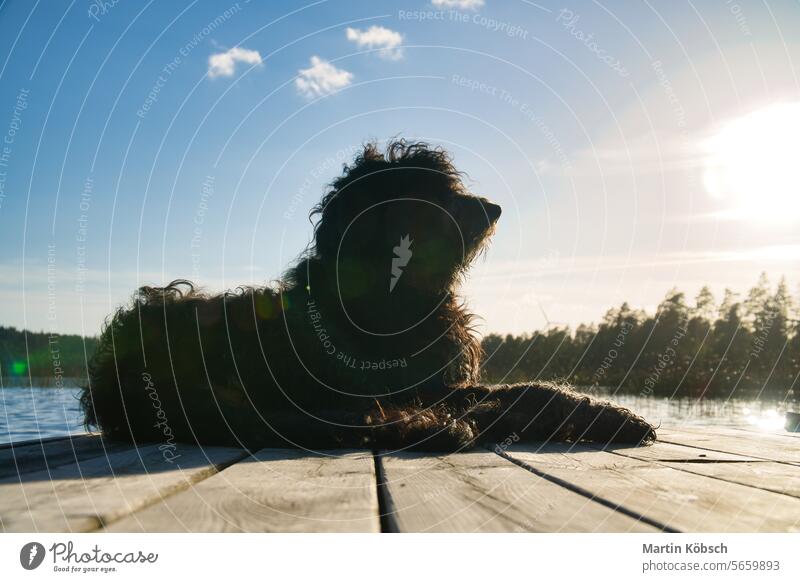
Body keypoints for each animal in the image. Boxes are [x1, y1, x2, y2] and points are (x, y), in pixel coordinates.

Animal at [81, 141, 656, 452]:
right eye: (430, 190)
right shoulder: (425, 386)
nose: (492, 208)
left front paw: (614, 415)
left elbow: (530, 388)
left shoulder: (444, 382)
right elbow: (524, 394)